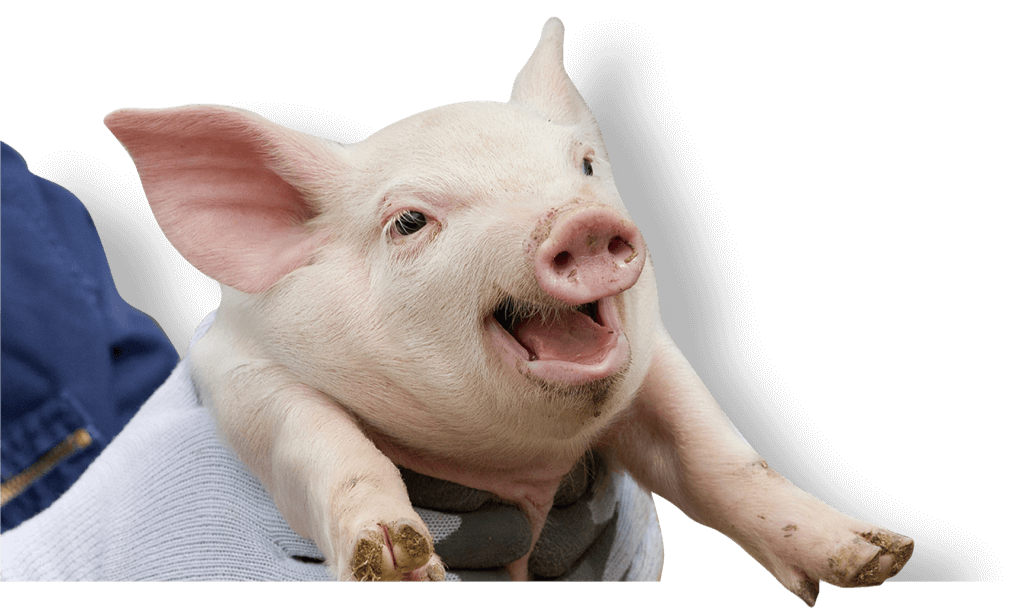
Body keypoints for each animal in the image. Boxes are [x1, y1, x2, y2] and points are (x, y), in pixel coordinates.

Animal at [102, 16, 912, 600]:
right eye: (409, 222)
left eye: (584, 167)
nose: (579, 220)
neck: (514, 467)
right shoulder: (233, 362)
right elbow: (316, 436)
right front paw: (399, 562)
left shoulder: (652, 357)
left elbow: (717, 454)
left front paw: (876, 557)